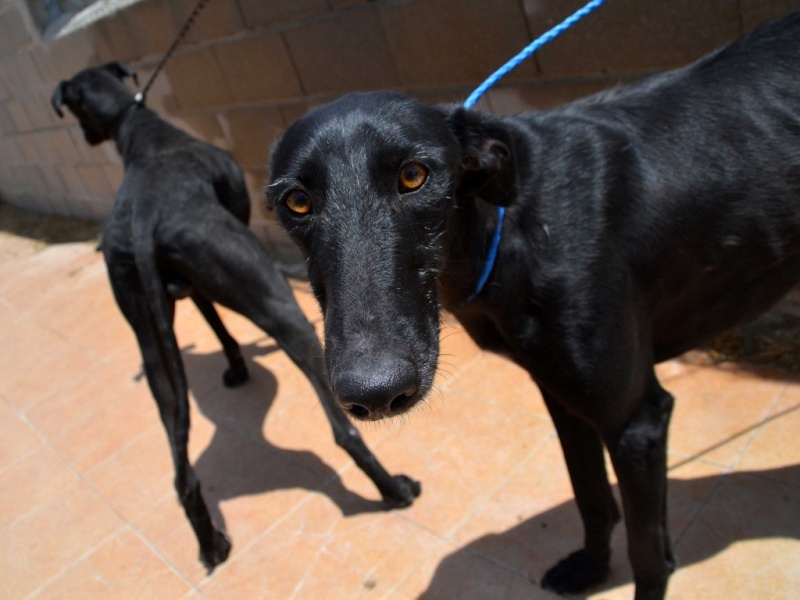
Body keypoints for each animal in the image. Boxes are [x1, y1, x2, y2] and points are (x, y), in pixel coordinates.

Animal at [50, 62, 418, 572]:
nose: (85, 138)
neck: (141, 132)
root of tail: (144, 219)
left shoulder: (194, 289)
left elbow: (217, 325)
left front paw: (237, 368)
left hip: (151, 343)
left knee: (180, 472)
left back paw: (210, 544)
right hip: (284, 310)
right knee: (344, 430)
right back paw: (393, 490)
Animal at [268, 10, 800, 600]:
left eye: (413, 175)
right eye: (296, 201)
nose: (375, 394)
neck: (513, 229)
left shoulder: (636, 420)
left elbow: (648, 554)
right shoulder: (563, 399)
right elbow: (591, 498)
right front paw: (589, 570)